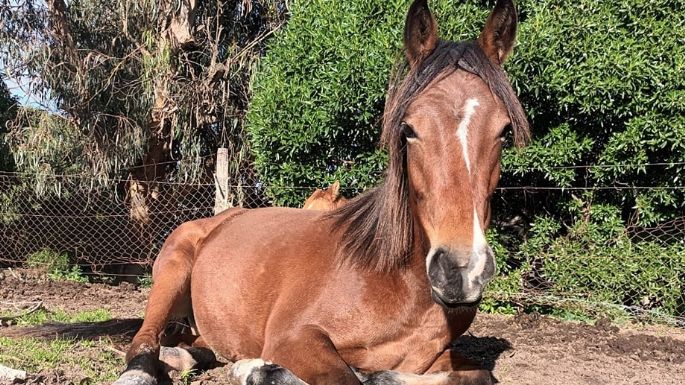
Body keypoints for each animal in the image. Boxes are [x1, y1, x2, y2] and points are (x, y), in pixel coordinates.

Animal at [115, 1, 528, 382]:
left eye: (505, 131)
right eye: (408, 129)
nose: (460, 271)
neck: (393, 280)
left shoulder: (432, 358)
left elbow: (478, 375)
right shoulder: (294, 337)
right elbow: (345, 378)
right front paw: (262, 370)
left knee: (192, 347)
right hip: (170, 273)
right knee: (145, 341)